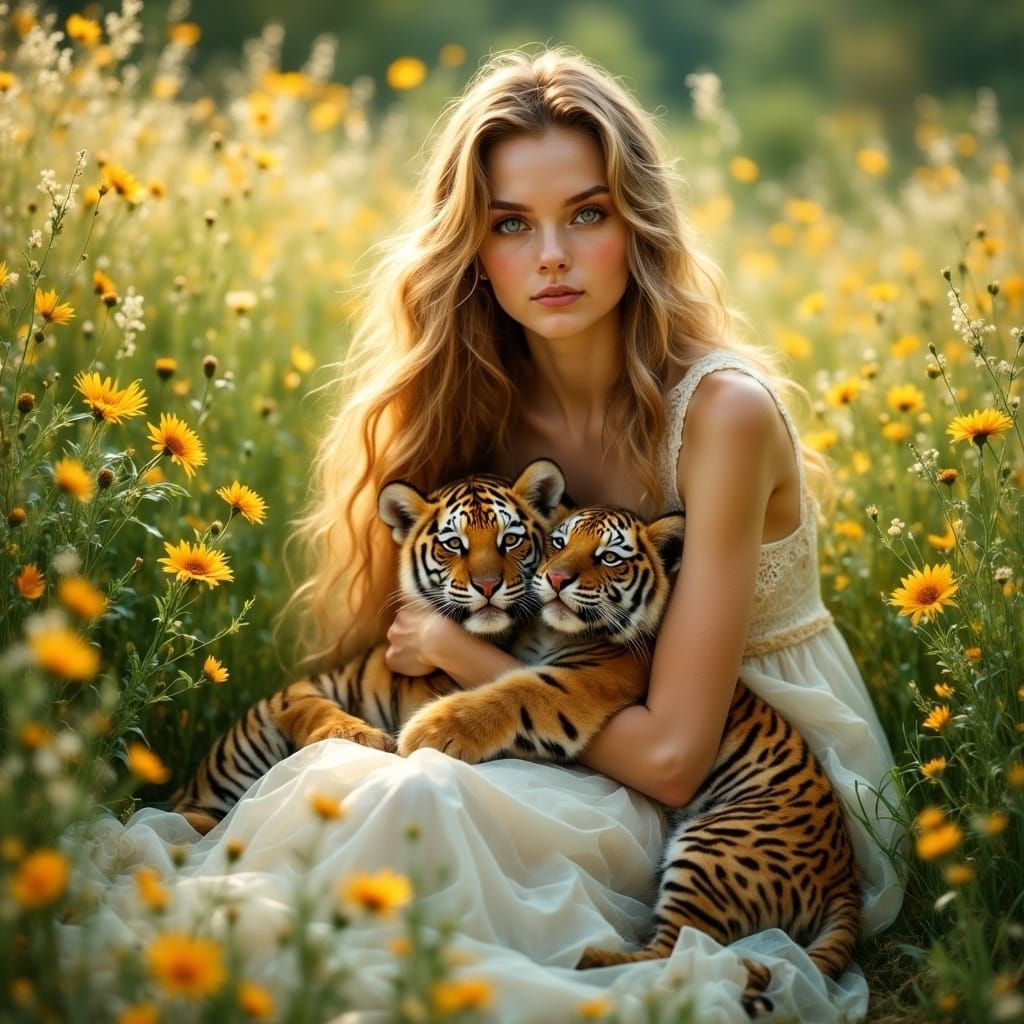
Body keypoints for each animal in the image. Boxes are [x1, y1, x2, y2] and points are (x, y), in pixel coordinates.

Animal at [170, 458, 568, 834]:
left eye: (510, 540)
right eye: (454, 544)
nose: (487, 585)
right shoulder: (298, 692)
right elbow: (314, 708)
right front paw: (361, 736)